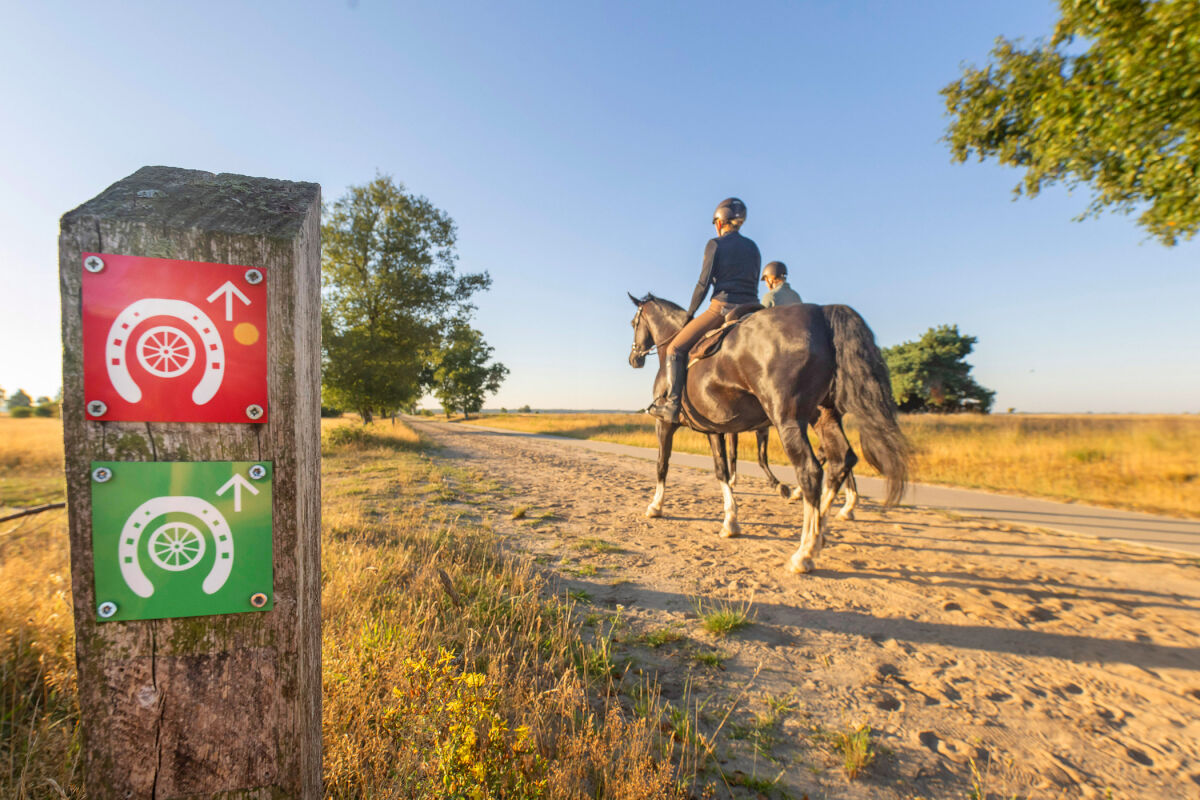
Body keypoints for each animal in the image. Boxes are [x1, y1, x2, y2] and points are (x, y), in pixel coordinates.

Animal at [633, 293, 902, 575]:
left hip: (788, 420)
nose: (634, 358)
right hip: (824, 416)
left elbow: (663, 465)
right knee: (842, 459)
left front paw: (655, 506)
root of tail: (822, 314)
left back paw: (804, 551)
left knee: (811, 471)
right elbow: (722, 470)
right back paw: (821, 532)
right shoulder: (715, 429)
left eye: (633, 322)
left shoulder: (665, 425)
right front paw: (730, 521)